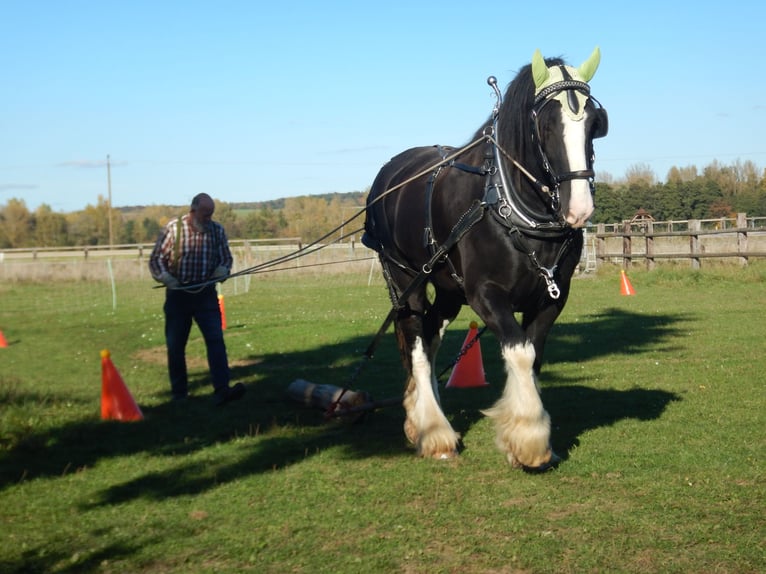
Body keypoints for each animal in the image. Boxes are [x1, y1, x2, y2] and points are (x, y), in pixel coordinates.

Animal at [361, 48, 608, 471]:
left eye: (594, 123)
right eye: (545, 125)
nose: (579, 209)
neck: (510, 204)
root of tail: (389, 172)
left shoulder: (552, 297)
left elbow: (534, 355)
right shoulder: (486, 295)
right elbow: (520, 352)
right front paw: (529, 439)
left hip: (448, 289)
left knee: (430, 335)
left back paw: (420, 415)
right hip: (405, 276)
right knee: (416, 342)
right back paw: (433, 431)